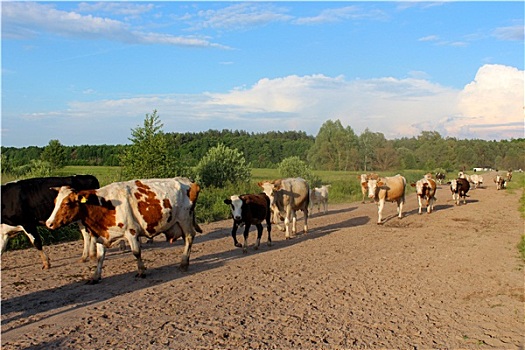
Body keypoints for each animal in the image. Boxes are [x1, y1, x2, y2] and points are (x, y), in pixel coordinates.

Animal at [46, 179, 201, 284]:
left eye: (67, 203)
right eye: (55, 202)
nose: (49, 223)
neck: (104, 204)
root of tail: (187, 181)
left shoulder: (131, 232)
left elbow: (136, 252)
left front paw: (141, 271)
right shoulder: (101, 235)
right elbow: (100, 257)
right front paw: (95, 276)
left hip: (185, 220)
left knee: (189, 237)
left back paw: (184, 263)